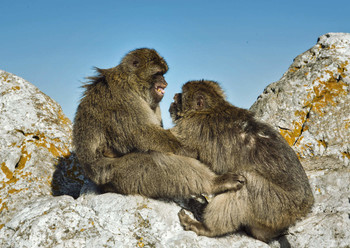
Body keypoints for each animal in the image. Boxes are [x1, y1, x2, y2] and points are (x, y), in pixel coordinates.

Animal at [72, 49, 242, 200]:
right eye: (157, 73)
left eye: (163, 73)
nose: (164, 82)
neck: (132, 83)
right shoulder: (122, 97)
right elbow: (143, 134)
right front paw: (188, 150)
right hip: (118, 175)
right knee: (155, 160)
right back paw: (216, 183)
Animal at [170, 80, 314, 243]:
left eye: (181, 96)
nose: (174, 95)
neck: (212, 108)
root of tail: (303, 210)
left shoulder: (190, 129)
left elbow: (180, 150)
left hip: (277, 208)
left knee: (247, 185)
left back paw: (207, 228)